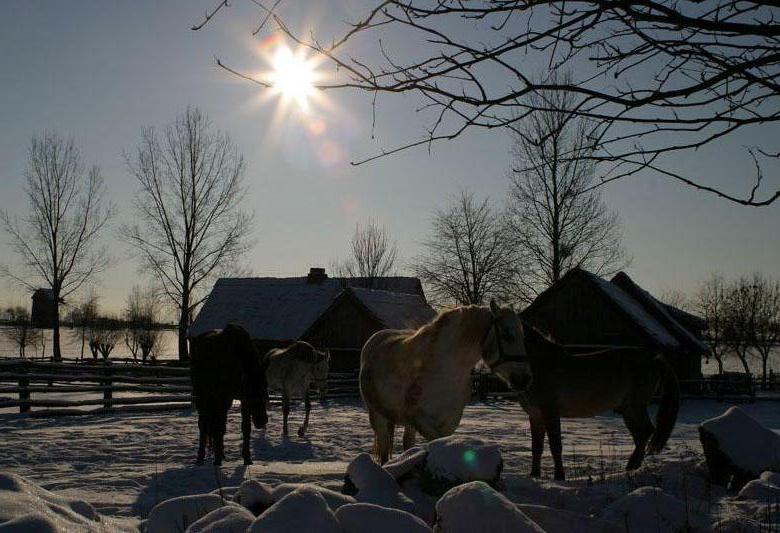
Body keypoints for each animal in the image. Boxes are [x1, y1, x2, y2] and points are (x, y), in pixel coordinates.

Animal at [190, 322, 270, 464]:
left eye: (265, 386)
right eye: (251, 391)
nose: (262, 421)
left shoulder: (241, 399)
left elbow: (245, 428)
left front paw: (247, 458)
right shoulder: (225, 396)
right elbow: (218, 427)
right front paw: (217, 461)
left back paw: (221, 453)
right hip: (202, 394)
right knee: (203, 424)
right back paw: (201, 457)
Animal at [360, 298, 532, 464]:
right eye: (508, 335)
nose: (524, 379)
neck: (445, 369)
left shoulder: (449, 420)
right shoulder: (421, 420)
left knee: (407, 443)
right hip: (377, 415)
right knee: (384, 446)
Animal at [516, 322, 680, 480]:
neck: (541, 365)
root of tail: (653, 359)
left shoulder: (550, 412)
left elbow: (555, 446)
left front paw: (559, 477)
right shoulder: (535, 415)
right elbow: (536, 447)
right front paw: (534, 475)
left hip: (635, 407)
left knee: (646, 431)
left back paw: (631, 466)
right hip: (628, 410)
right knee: (641, 434)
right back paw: (633, 467)